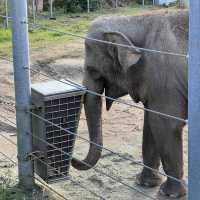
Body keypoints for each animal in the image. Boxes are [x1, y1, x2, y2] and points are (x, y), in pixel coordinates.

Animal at [71, 11, 188, 198]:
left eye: (93, 70)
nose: (72, 158)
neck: (135, 19)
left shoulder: (166, 80)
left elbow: (165, 124)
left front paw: (169, 193)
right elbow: (151, 122)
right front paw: (144, 183)